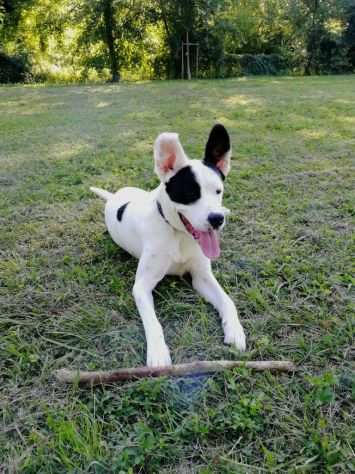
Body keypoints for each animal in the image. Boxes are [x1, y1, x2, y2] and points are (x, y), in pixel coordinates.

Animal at [92, 123, 246, 366]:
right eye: (191, 193)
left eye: (218, 191)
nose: (217, 219)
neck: (178, 234)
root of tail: (115, 195)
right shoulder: (141, 287)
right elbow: (153, 323)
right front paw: (157, 353)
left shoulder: (202, 277)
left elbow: (227, 301)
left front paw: (236, 330)